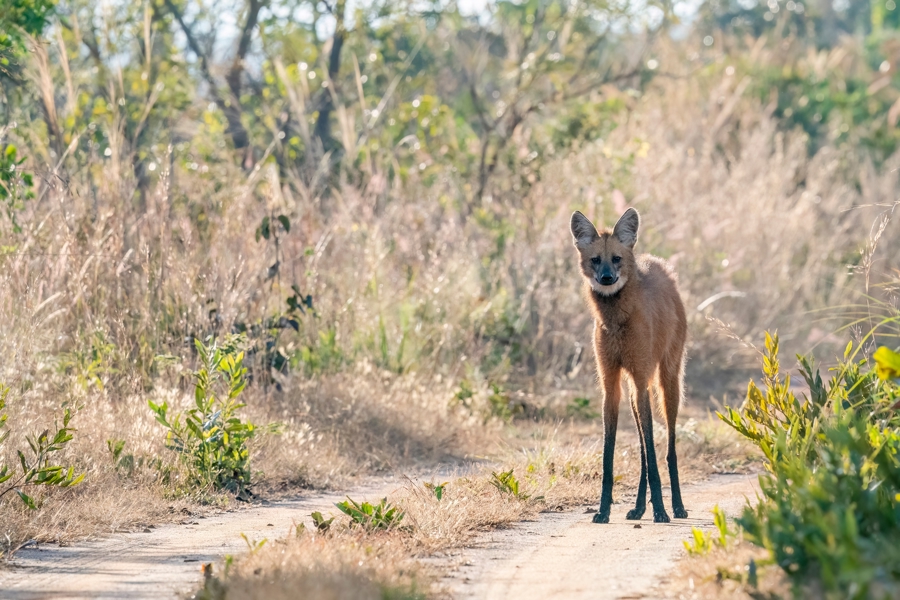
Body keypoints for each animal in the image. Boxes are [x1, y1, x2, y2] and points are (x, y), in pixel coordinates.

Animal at [568, 209, 688, 524]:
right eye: (595, 259)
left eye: (617, 259)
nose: (607, 278)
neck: (616, 320)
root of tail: (659, 264)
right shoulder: (611, 383)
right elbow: (610, 455)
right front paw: (603, 510)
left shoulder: (641, 375)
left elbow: (654, 451)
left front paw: (661, 511)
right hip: (635, 390)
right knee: (644, 448)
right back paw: (638, 507)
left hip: (666, 380)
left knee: (668, 446)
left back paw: (677, 506)